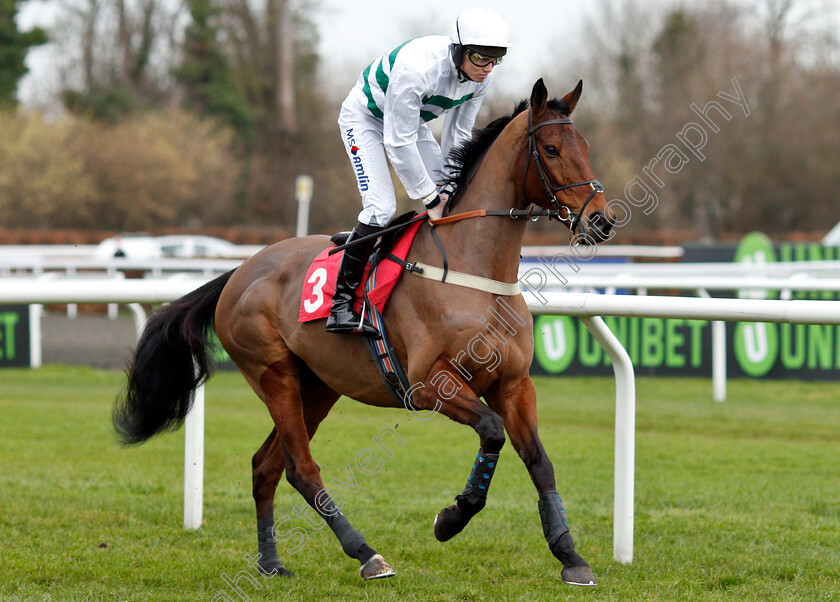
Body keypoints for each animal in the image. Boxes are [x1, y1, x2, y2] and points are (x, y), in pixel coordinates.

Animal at [113, 76, 612, 584]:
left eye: (587, 147)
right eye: (551, 149)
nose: (602, 220)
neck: (472, 271)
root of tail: (238, 272)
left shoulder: (514, 383)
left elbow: (540, 461)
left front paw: (570, 555)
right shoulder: (428, 384)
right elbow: (491, 431)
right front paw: (451, 518)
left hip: (317, 386)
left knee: (266, 466)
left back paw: (271, 562)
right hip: (273, 374)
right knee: (301, 468)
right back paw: (366, 553)